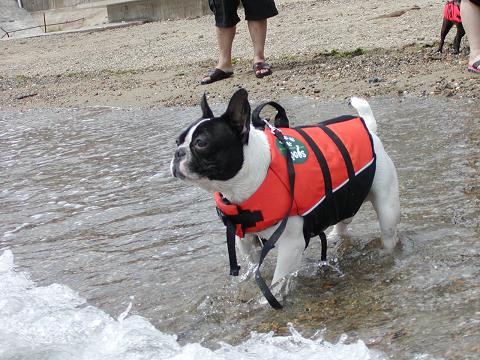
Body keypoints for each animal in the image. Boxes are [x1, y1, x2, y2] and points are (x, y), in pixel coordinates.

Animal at [171, 88, 400, 308]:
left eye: (201, 143)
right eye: (177, 141)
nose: (178, 152)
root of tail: (369, 130)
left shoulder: (291, 245)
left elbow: (277, 280)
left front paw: (266, 301)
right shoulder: (244, 240)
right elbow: (253, 267)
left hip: (387, 207)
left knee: (389, 234)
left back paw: (386, 255)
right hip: (347, 196)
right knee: (344, 219)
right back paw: (335, 237)